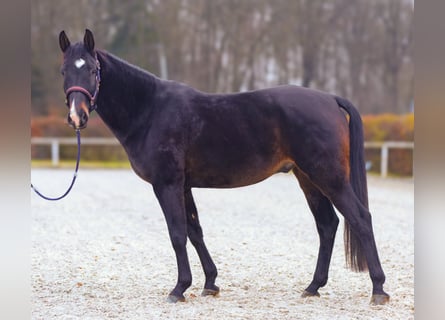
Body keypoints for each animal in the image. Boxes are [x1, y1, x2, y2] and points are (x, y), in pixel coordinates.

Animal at [57, 28, 386, 304]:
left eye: (92, 69)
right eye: (63, 70)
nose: (76, 116)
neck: (150, 110)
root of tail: (330, 99)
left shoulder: (167, 183)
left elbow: (177, 233)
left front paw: (179, 288)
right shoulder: (184, 185)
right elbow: (194, 231)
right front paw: (210, 283)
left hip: (329, 176)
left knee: (360, 218)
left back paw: (378, 289)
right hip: (308, 178)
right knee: (327, 225)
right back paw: (313, 286)